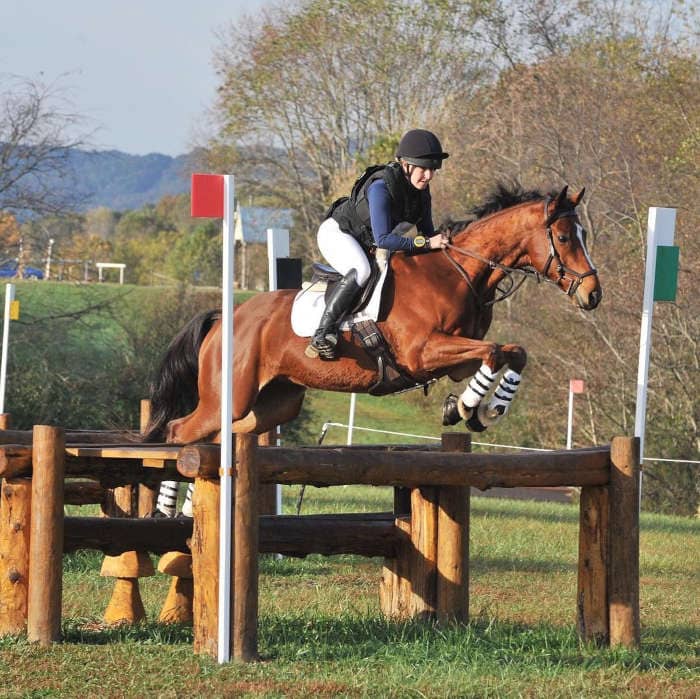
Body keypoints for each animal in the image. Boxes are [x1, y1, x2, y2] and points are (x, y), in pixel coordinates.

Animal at [143, 184, 601, 444]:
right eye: (564, 237)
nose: (593, 294)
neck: (457, 271)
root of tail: (225, 319)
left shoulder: (454, 358)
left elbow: (511, 351)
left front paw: (477, 410)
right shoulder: (423, 353)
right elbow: (494, 350)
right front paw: (469, 409)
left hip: (274, 403)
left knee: (227, 434)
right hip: (229, 396)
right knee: (180, 431)